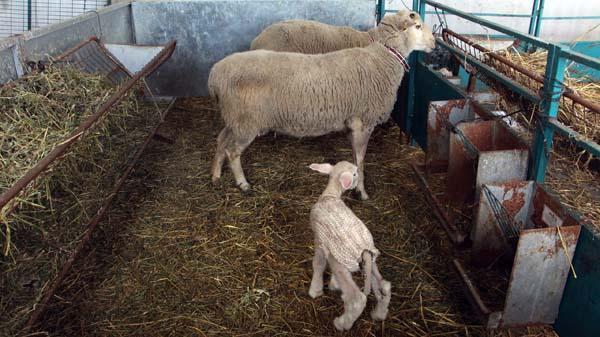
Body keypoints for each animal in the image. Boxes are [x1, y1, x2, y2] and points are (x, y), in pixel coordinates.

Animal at [209, 20, 434, 200]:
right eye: (417, 26)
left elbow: (355, 158)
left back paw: (215, 175)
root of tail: (214, 76)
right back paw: (243, 184)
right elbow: (361, 161)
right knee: (232, 151)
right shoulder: (363, 122)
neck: (383, 60)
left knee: (221, 140)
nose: (434, 43)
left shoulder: (352, 124)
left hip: (235, 119)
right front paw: (361, 192)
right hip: (246, 121)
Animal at [308, 161, 392, 330]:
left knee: (356, 299)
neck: (330, 195)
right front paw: (333, 285)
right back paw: (379, 314)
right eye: (354, 173)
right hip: (370, 262)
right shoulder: (328, 247)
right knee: (384, 286)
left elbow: (318, 264)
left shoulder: (319, 241)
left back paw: (341, 324)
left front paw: (315, 290)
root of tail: (364, 250)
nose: (357, 180)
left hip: (343, 263)